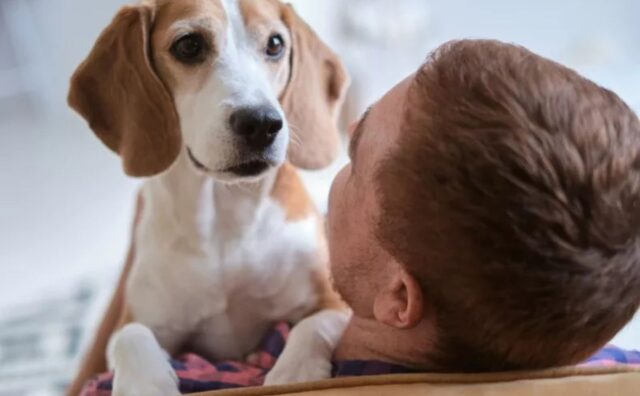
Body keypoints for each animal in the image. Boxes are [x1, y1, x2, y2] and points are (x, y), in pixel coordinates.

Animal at [66, 0, 350, 396]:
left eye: (275, 44)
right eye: (189, 45)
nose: (261, 123)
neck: (225, 219)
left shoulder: (334, 303)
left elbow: (313, 327)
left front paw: (295, 374)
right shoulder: (139, 321)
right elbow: (130, 336)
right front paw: (145, 384)